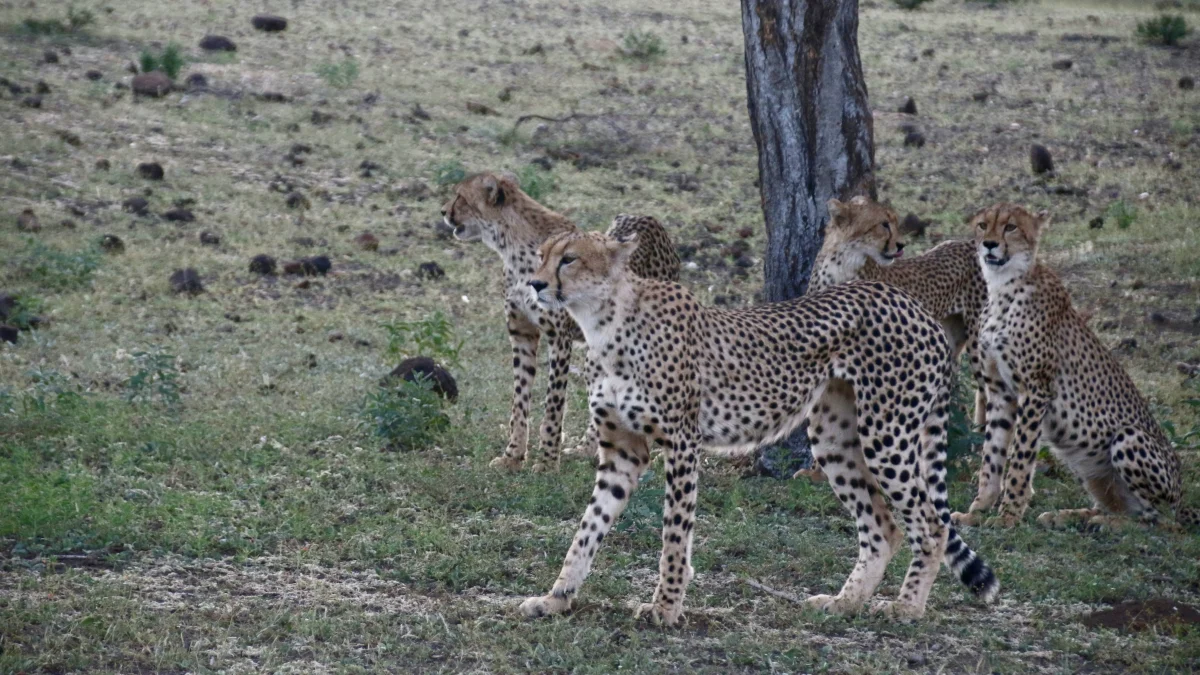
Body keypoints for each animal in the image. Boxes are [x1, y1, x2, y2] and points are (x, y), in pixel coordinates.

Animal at [442, 171, 679, 471]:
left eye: (460, 196)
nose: (443, 211)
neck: (512, 244)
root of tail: (647, 217)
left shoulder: (558, 338)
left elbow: (553, 405)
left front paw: (546, 461)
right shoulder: (521, 333)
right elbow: (519, 400)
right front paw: (513, 455)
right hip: (597, 355)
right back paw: (589, 449)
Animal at [517, 230, 1000, 626]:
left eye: (569, 259)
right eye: (541, 256)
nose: (535, 284)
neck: (604, 320)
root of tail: (913, 307)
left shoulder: (682, 443)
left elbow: (674, 534)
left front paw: (666, 608)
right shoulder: (623, 451)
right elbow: (587, 529)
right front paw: (557, 598)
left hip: (887, 434)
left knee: (931, 524)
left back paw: (907, 607)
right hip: (834, 437)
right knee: (884, 527)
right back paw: (844, 603)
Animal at [797, 196, 991, 483]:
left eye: (896, 222)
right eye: (883, 224)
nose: (900, 245)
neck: (841, 264)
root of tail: (969, 244)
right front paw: (819, 471)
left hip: (978, 344)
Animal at [950, 203, 1196, 530]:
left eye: (1010, 227)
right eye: (982, 225)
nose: (989, 244)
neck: (1002, 286)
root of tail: (1183, 501)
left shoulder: (1035, 390)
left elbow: (1019, 458)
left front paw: (1008, 515)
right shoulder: (1000, 392)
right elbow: (992, 456)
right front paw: (977, 511)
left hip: (1128, 437)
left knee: (1160, 521)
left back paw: (1105, 524)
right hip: (1087, 466)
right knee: (1121, 507)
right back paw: (1068, 516)